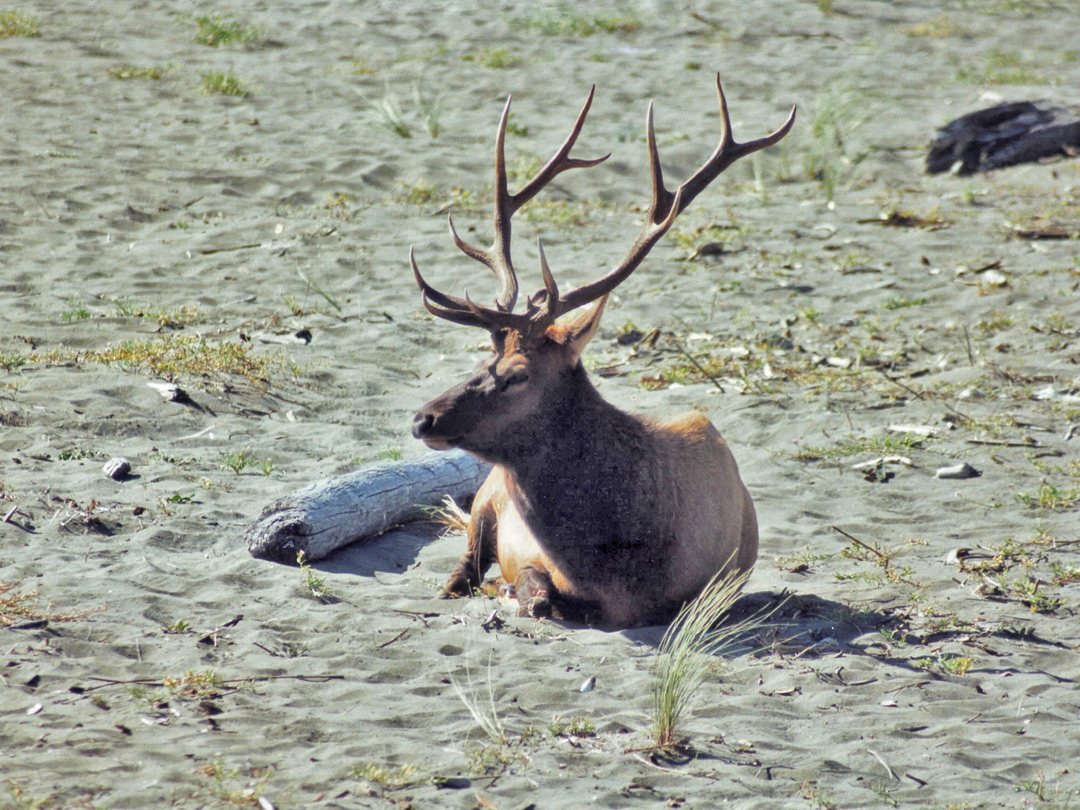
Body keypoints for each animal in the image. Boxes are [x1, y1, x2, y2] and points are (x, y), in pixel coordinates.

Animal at [406, 76, 794, 630]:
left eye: (518, 373)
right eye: (484, 359)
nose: (424, 418)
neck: (618, 567)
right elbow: (534, 590)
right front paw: (514, 591)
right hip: (484, 500)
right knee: (464, 566)